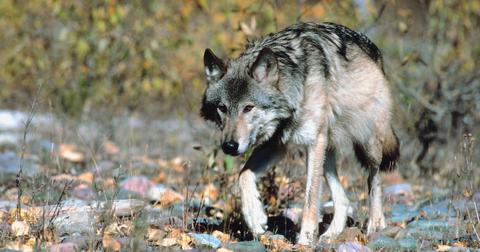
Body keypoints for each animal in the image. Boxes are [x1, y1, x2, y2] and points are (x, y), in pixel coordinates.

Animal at [201, 21, 400, 246]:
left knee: (374, 178)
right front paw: (255, 218)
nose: (229, 146)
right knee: (343, 199)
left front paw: (305, 240)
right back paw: (330, 235)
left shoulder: (313, 142)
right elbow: (243, 175)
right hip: (327, 153)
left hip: (367, 143)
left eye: (248, 108)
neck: (297, 88)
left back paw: (376, 223)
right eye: (222, 108)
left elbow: (310, 198)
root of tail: (375, 51)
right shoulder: (277, 144)